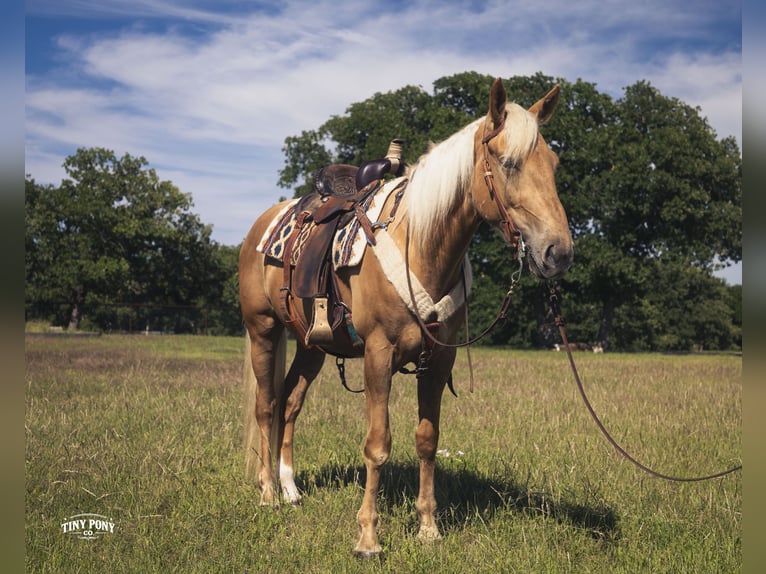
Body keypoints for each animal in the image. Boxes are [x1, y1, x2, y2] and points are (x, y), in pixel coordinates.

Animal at [239, 78, 574, 557]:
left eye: (554, 164)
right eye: (508, 163)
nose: (558, 253)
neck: (421, 245)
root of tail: (263, 223)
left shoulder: (438, 361)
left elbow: (427, 442)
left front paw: (428, 528)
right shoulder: (379, 355)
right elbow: (378, 445)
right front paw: (368, 537)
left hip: (311, 345)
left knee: (290, 404)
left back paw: (290, 489)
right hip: (263, 330)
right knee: (266, 407)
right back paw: (268, 494)